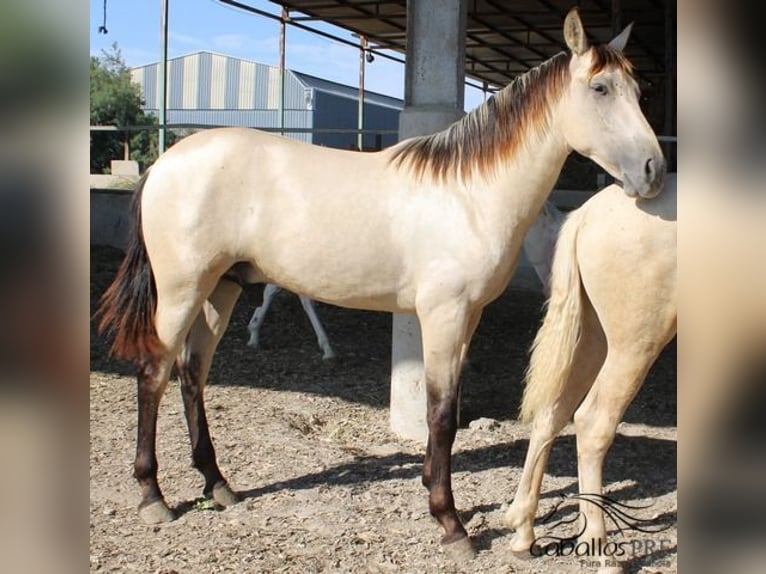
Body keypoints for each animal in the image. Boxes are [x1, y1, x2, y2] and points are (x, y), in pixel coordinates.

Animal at [97, 7, 664, 560]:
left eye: (638, 89)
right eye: (600, 88)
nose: (653, 170)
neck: (468, 193)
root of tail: (166, 162)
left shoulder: (468, 317)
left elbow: (448, 410)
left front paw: (434, 495)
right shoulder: (444, 314)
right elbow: (440, 414)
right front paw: (451, 524)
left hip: (223, 289)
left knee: (192, 373)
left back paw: (217, 484)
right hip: (182, 291)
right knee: (154, 372)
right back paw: (153, 497)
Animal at [510, 174, 680, 572]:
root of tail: (586, 216)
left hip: (591, 340)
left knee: (551, 414)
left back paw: (524, 531)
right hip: (632, 346)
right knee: (591, 423)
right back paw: (599, 549)